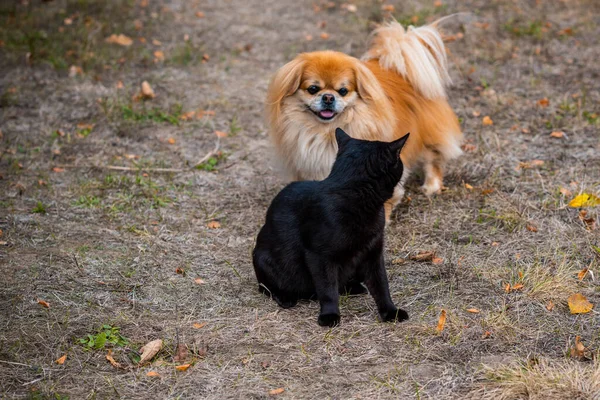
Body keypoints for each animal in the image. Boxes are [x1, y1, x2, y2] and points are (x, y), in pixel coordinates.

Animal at [251, 126, 410, 326]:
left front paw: (391, 311)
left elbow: (381, 285)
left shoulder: (373, 252)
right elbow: (327, 289)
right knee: (267, 287)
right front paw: (329, 315)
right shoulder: (319, 257)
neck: (354, 195)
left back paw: (353, 287)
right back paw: (286, 297)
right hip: (263, 259)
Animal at [264, 19, 462, 219]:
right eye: (313, 89)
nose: (328, 97)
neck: (327, 132)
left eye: (343, 91)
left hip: (428, 133)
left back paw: (431, 186)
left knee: (433, 158)